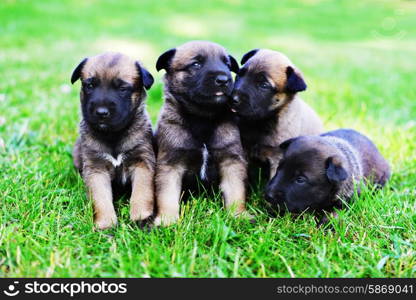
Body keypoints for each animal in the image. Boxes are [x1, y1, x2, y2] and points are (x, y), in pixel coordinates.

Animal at [71, 52, 156, 230]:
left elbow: (141, 192)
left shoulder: (142, 162)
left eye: (122, 89)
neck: (113, 135)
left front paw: (141, 218)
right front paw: (106, 224)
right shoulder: (96, 168)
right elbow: (101, 199)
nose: (101, 112)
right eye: (90, 86)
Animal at [155, 40, 247, 225]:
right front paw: (167, 220)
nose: (224, 80)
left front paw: (238, 215)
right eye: (196, 64)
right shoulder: (170, 165)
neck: (202, 118)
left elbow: (236, 191)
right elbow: (167, 195)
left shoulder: (231, 161)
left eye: (227, 65)